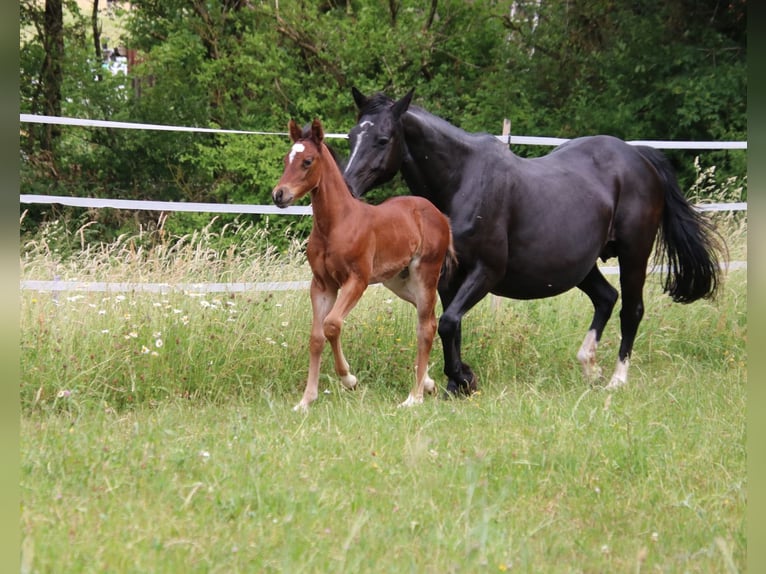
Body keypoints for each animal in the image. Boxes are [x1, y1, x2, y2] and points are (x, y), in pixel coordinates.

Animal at [272, 118, 456, 412]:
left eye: (307, 161)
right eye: (285, 159)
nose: (279, 195)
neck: (336, 224)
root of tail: (439, 215)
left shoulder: (356, 280)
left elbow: (332, 325)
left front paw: (349, 379)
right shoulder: (321, 285)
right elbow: (316, 337)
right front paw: (305, 400)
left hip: (425, 273)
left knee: (426, 327)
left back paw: (413, 397)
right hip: (399, 282)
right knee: (427, 318)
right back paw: (427, 383)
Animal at [342, 87, 724, 395]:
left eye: (383, 139)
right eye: (350, 136)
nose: (348, 188)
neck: (463, 180)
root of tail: (640, 156)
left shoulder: (486, 272)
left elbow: (449, 323)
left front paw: (463, 379)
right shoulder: (449, 277)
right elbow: (451, 326)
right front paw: (457, 383)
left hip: (634, 254)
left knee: (631, 309)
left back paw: (616, 380)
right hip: (580, 264)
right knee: (606, 297)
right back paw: (589, 366)